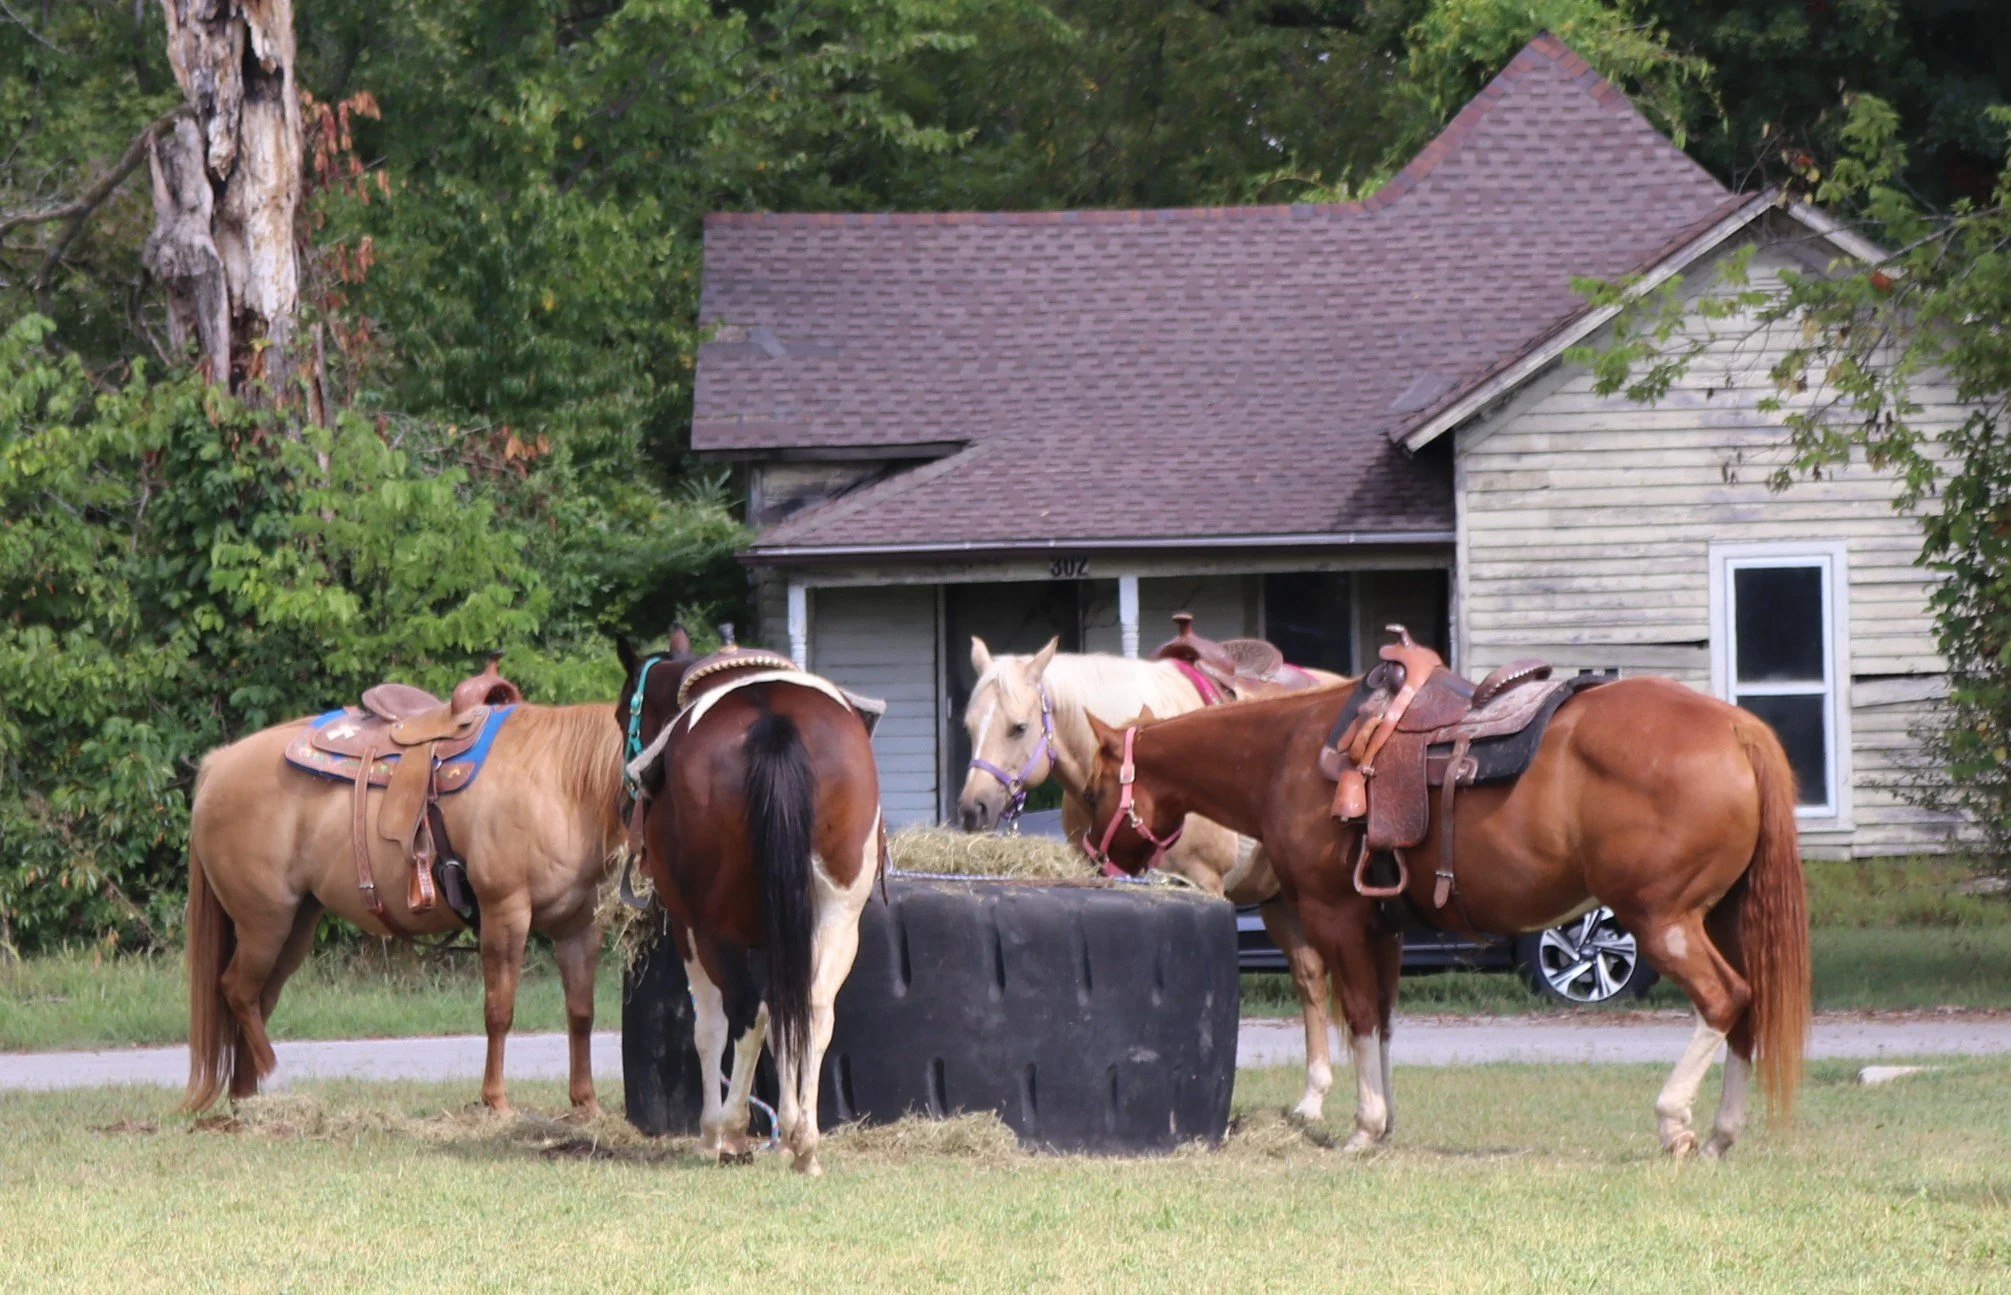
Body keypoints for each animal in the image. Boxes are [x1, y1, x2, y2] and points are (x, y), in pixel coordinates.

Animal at [184, 701, 626, 1115]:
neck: (558, 782)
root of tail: (219, 763)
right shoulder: (506, 913)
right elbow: (499, 1010)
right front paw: (496, 1100)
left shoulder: (578, 926)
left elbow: (581, 1012)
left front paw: (586, 1102)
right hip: (264, 923)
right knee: (238, 991)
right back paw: (273, 1081)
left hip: (295, 926)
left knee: (259, 999)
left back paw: (246, 1100)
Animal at [617, 638, 882, 1176]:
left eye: (619, 716)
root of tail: (773, 721)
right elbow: (788, 1021)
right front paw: (788, 1128)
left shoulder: (689, 931)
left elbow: (709, 1028)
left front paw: (713, 1133)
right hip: (839, 916)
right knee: (813, 1009)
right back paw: (806, 1145)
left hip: (713, 930)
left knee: (746, 1013)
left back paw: (733, 1128)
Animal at [956, 635, 1350, 1120]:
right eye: (969, 727)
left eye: (1018, 727)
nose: (973, 809)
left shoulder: (1203, 885)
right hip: (1280, 901)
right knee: (1310, 978)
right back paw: (1312, 1097)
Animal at [1069, 677, 1809, 1158]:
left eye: (1092, 788)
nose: (1091, 857)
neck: (1289, 753)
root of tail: (1737, 728)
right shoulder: (1386, 927)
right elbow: (1383, 1022)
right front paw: (1386, 1121)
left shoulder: (1336, 918)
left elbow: (1358, 1018)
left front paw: (1363, 1128)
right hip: (1721, 919)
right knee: (1748, 1008)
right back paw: (1720, 1134)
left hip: (1662, 919)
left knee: (1724, 998)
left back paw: (1675, 1120)